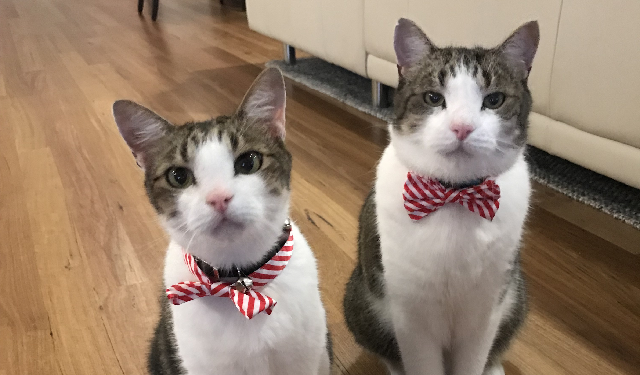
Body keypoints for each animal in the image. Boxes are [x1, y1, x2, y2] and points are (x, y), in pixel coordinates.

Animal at [342, 19, 536, 375]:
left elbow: (474, 359)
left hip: (517, 295)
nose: (462, 127)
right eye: (433, 97)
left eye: (494, 100)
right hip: (360, 301)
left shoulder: (486, 309)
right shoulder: (411, 317)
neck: (454, 194)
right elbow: (419, 360)